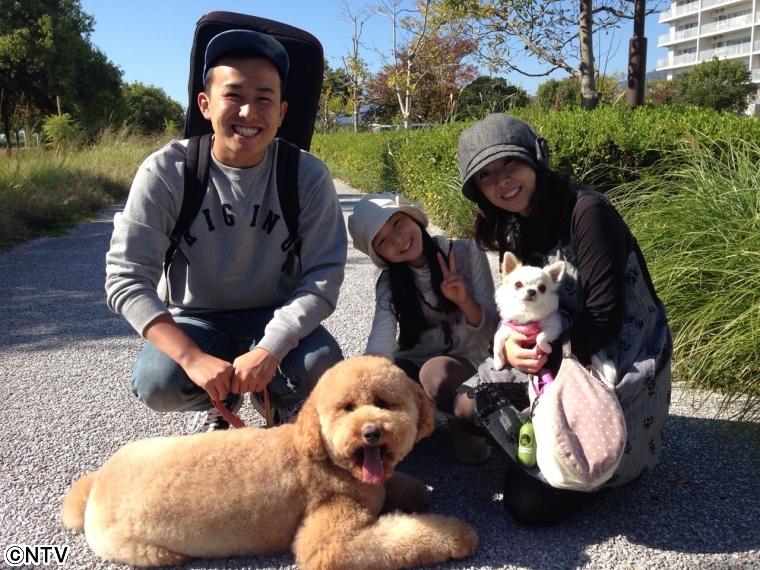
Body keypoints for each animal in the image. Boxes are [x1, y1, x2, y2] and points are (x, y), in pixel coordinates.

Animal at [60, 355, 478, 569]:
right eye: (347, 408)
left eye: (384, 402)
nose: (371, 432)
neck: (324, 459)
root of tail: (96, 485)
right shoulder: (329, 539)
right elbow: (384, 541)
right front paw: (457, 535)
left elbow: (399, 486)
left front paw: (413, 491)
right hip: (138, 547)